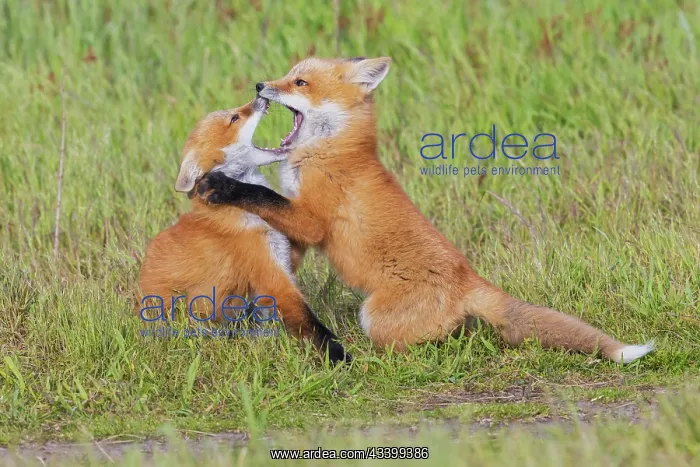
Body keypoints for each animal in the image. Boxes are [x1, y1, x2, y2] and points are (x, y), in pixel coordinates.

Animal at [137, 96, 350, 363]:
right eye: (234, 118)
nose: (260, 97)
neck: (244, 213)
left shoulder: (282, 253)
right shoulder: (271, 274)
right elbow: (309, 322)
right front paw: (339, 357)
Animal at [196, 57, 654, 364]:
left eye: (300, 81)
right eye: (288, 74)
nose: (260, 85)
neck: (330, 152)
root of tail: (468, 278)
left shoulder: (312, 220)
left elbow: (263, 197)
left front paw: (223, 186)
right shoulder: (302, 228)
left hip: (374, 317)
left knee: (436, 340)